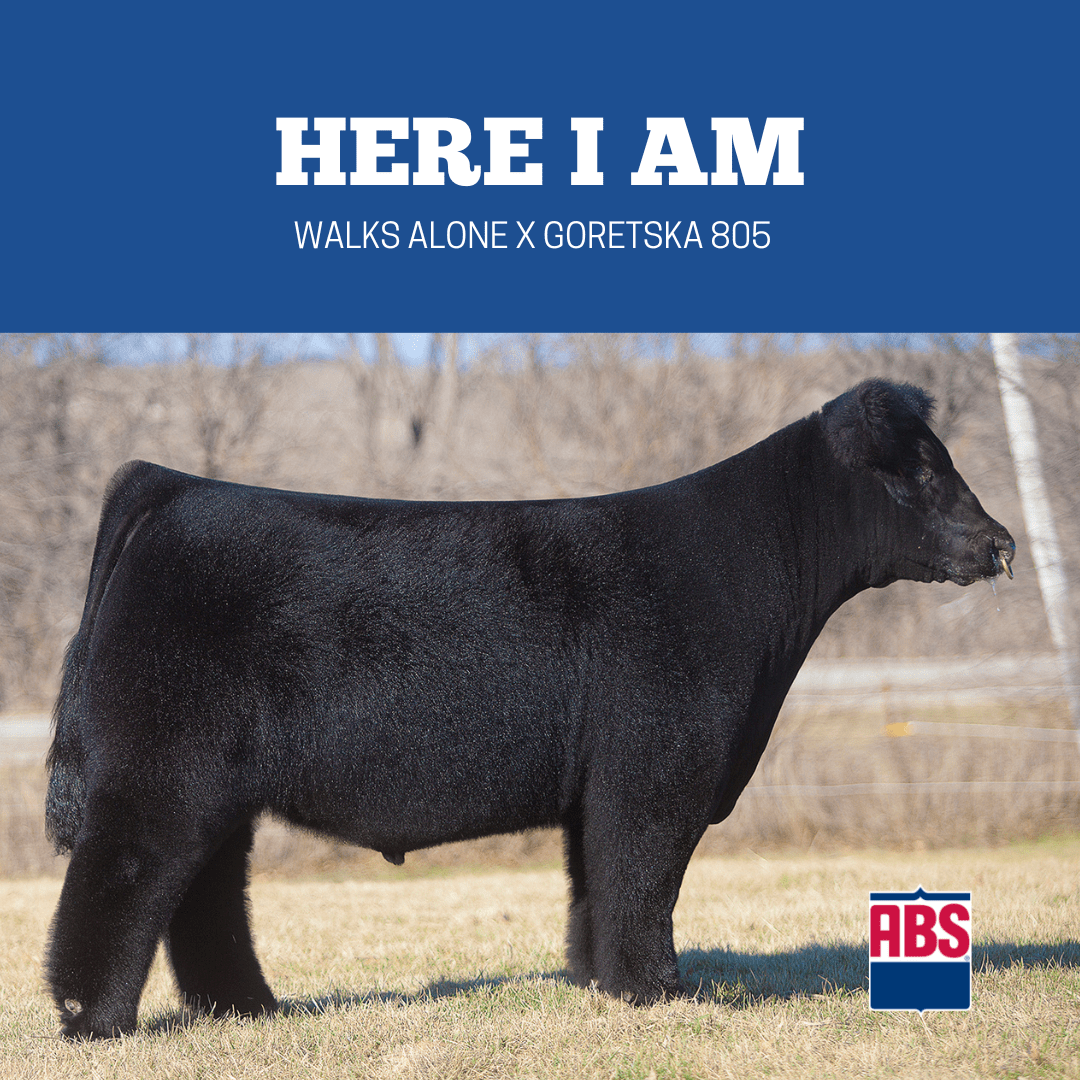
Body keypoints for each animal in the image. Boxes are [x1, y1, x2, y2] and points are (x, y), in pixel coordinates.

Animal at [44, 379, 1014, 1038]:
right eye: (922, 471)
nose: (1001, 543)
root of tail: (172, 487)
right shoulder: (658, 765)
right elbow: (643, 876)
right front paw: (660, 990)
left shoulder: (605, 783)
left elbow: (598, 882)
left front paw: (601, 982)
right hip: (160, 767)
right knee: (125, 875)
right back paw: (93, 1018)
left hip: (214, 784)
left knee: (204, 890)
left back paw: (247, 1009)